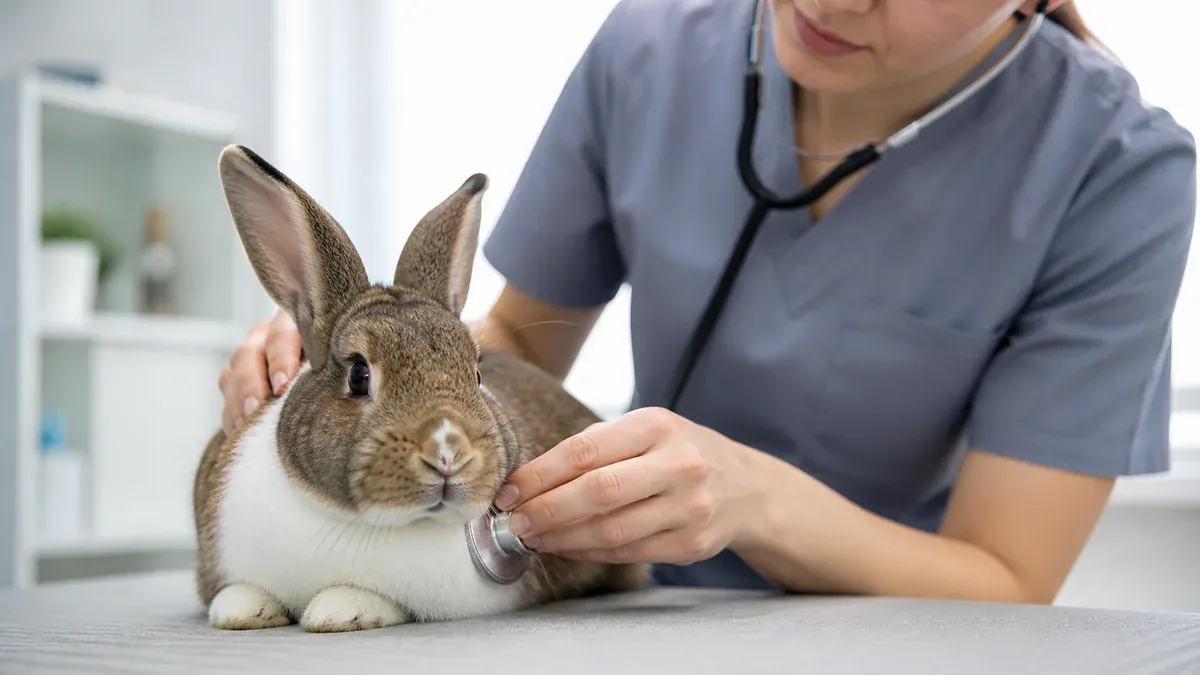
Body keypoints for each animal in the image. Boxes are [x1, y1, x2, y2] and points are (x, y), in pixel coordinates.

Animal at [193, 145, 650, 633]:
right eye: (359, 375)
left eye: (477, 375)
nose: (448, 452)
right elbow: (241, 591)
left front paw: (339, 610)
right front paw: (241, 610)